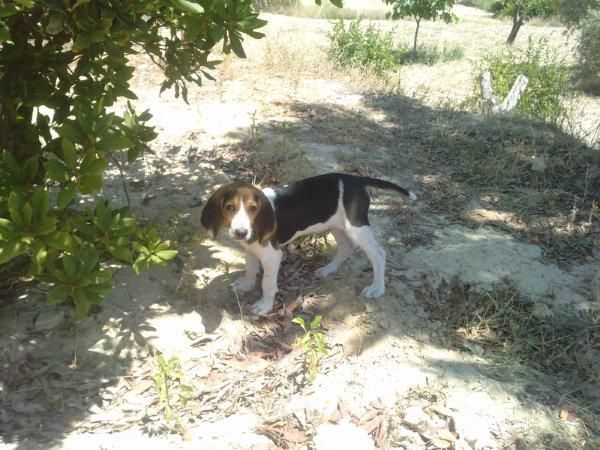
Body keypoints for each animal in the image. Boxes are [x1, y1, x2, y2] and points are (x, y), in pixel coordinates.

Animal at [202, 172, 418, 316]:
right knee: (346, 247)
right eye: (230, 208)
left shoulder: (272, 256)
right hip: (336, 225)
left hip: (356, 227)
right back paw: (328, 269)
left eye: (253, 208)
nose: (240, 232)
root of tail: (357, 179)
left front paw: (264, 305)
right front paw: (246, 285)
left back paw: (377, 288)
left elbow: (267, 283)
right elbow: (249, 269)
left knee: (378, 255)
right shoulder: (251, 249)